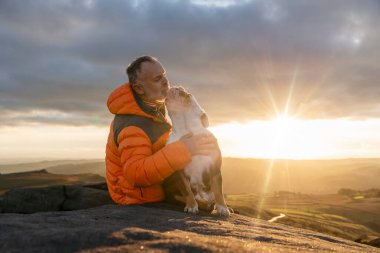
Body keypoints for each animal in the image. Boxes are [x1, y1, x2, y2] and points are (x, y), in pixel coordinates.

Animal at [163, 86, 229, 216]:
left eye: (188, 95)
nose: (177, 87)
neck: (186, 129)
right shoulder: (180, 173)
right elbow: (187, 190)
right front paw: (191, 206)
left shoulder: (215, 169)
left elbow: (218, 191)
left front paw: (222, 208)